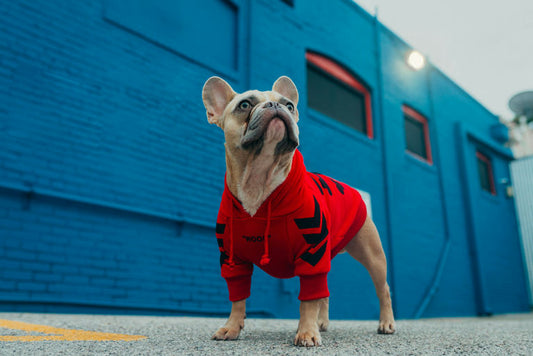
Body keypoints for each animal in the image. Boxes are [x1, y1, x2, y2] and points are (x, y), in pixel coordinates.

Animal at [202, 76, 392, 346]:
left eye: (289, 105)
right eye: (245, 105)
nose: (275, 105)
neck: (260, 181)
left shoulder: (312, 254)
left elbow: (308, 300)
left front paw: (306, 332)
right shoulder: (232, 260)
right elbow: (237, 297)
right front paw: (231, 327)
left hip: (373, 256)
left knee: (382, 289)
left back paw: (386, 323)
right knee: (325, 292)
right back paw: (322, 323)